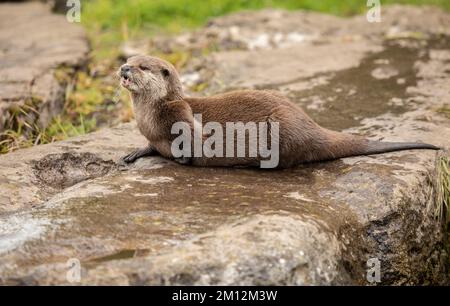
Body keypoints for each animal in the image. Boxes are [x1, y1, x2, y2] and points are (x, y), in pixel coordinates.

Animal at [117, 55, 440, 170]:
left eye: (142, 66)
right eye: (128, 59)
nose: (124, 68)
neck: (148, 118)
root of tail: (312, 126)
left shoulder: (179, 114)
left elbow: (191, 140)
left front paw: (183, 158)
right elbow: (151, 145)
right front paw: (135, 152)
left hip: (281, 130)